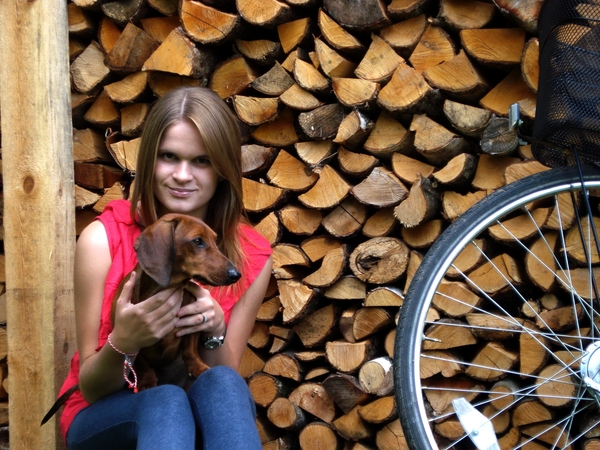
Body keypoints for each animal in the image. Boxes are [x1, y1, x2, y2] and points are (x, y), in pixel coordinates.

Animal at [41, 213, 240, 425]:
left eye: (215, 240)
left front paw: (198, 367)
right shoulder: (130, 334)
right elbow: (139, 361)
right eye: (197, 241)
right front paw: (146, 382)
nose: (236, 274)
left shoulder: (193, 317)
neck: (165, 288)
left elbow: (190, 349)